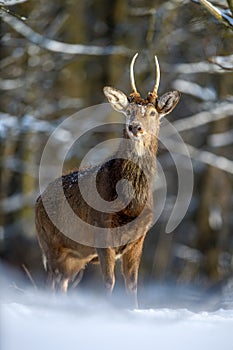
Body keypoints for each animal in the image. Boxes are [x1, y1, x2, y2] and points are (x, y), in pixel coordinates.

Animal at [34, 53, 180, 308]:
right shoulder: (102, 233)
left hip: (75, 257)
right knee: (50, 282)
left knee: (62, 284)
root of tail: (37, 201)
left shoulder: (138, 239)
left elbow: (132, 285)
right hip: (50, 243)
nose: (135, 127)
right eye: (128, 111)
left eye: (152, 113)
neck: (129, 205)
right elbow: (109, 283)